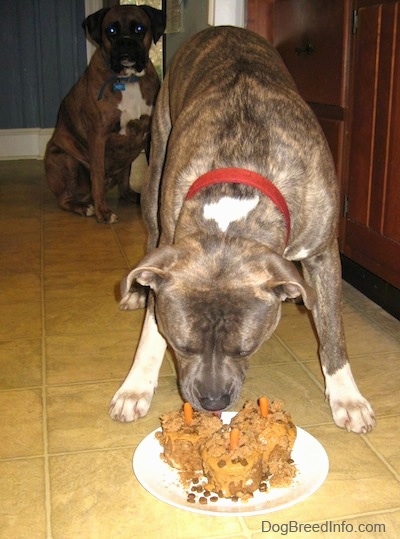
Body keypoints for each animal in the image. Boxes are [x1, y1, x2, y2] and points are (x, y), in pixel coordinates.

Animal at [45, 4, 166, 224]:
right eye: (111, 30)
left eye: (139, 29)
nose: (125, 41)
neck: (128, 80)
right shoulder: (98, 136)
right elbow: (98, 176)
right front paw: (103, 212)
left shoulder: (150, 135)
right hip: (66, 159)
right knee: (65, 199)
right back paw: (84, 207)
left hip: (127, 157)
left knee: (124, 185)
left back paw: (131, 196)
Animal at [108, 25, 376, 434]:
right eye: (182, 346)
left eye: (247, 349)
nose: (213, 401)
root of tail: (221, 27)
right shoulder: (171, 247)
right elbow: (151, 329)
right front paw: (136, 386)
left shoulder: (323, 253)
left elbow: (332, 331)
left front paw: (347, 396)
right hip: (154, 182)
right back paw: (135, 293)